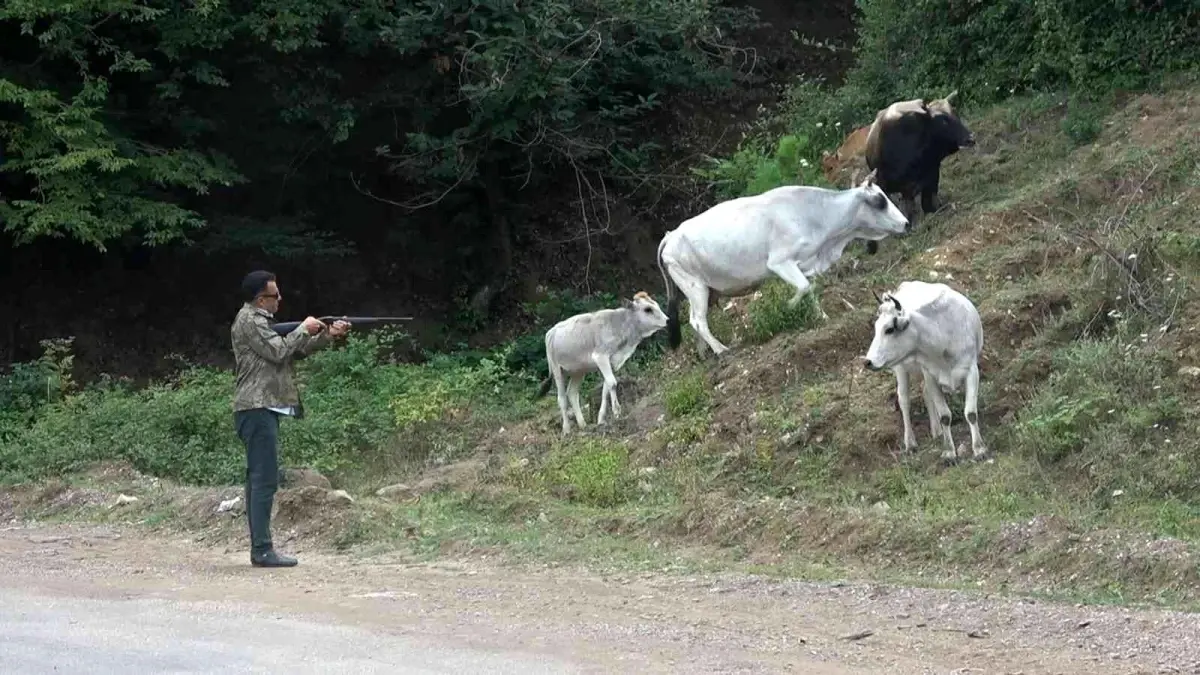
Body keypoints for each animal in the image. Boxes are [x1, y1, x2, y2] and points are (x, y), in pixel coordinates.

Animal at [537, 291, 672, 432]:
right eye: (648, 309)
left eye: (656, 305)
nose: (668, 320)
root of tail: (551, 331)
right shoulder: (600, 357)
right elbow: (612, 383)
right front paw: (617, 411)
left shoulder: (612, 362)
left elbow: (606, 389)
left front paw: (601, 419)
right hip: (557, 370)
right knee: (561, 398)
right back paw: (567, 429)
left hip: (578, 371)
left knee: (572, 393)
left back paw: (582, 424)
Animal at [657, 169, 907, 357]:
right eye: (880, 201)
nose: (905, 222)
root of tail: (670, 235)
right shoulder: (780, 263)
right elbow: (804, 287)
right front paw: (788, 308)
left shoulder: (803, 263)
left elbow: (810, 287)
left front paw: (821, 316)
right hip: (695, 287)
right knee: (697, 321)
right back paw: (721, 349)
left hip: (704, 291)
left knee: (696, 322)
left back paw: (704, 353)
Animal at [864, 90, 974, 253]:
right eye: (943, 120)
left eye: (955, 112)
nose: (970, 138)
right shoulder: (897, 186)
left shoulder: (932, 174)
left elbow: (928, 202)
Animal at [868, 278, 988, 461]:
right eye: (876, 328)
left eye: (889, 329)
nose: (868, 361)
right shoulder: (930, 375)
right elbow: (945, 416)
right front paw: (949, 452)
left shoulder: (972, 371)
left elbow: (971, 413)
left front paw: (979, 449)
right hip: (900, 368)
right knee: (904, 400)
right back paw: (910, 443)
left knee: (924, 393)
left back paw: (936, 431)